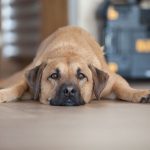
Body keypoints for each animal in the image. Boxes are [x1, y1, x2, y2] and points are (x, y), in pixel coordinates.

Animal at [0, 26, 150, 105]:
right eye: (54, 75)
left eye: (81, 75)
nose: (69, 91)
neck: (68, 50)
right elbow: (18, 87)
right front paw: (5, 94)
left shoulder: (114, 80)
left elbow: (124, 89)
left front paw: (139, 93)